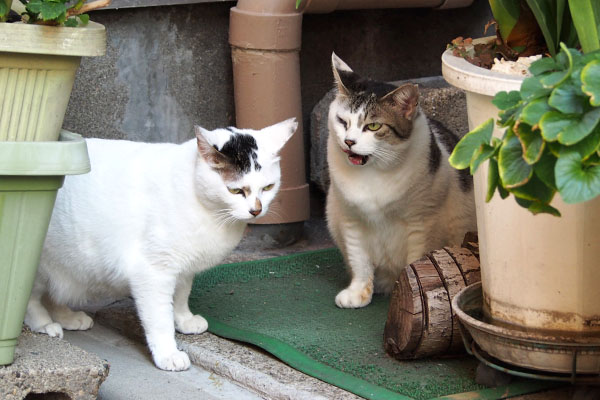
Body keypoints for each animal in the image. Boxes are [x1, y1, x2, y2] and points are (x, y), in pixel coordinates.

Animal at [25, 117, 298, 370]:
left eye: (268, 187)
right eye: (236, 191)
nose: (256, 211)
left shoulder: (183, 266)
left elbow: (181, 295)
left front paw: (184, 320)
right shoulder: (153, 271)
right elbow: (159, 318)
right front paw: (168, 353)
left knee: (55, 293)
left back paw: (68, 318)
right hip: (38, 266)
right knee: (31, 300)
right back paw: (46, 324)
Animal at [326, 52, 476, 310]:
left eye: (373, 126)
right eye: (342, 121)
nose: (349, 142)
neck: (373, 172)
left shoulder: (420, 223)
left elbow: (415, 262)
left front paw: (412, 292)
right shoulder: (350, 219)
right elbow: (360, 261)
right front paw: (358, 293)